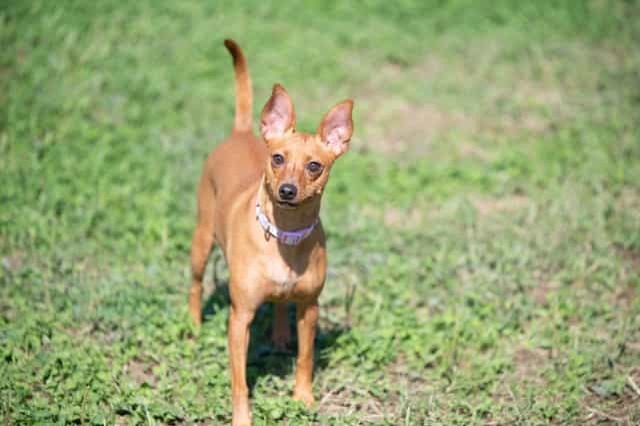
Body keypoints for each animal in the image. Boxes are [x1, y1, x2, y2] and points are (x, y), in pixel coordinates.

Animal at [188, 38, 352, 424]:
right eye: (277, 158)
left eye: (314, 166)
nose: (287, 191)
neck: (285, 237)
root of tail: (241, 132)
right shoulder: (239, 319)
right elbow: (240, 381)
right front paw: (241, 417)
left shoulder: (309, 308)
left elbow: (305, 359)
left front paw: (303, 399)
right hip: (201, 242)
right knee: (196, 284)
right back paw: (193, 325)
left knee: (279, 304)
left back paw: (279, 336)